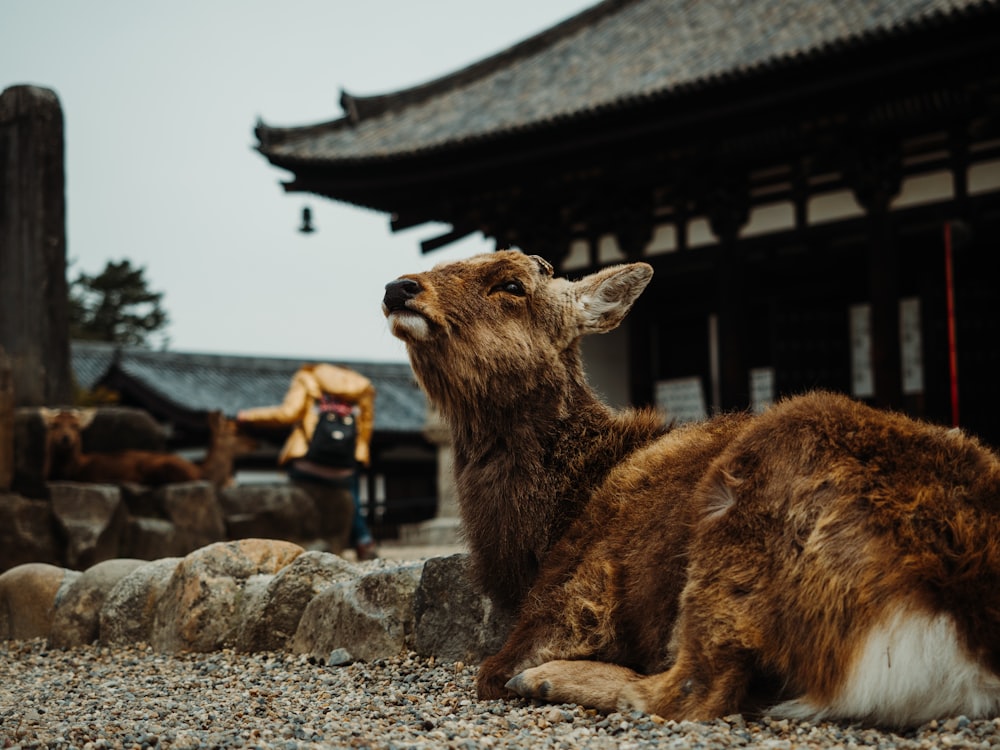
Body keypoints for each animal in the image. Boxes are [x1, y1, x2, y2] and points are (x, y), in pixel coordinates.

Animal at [382, 251, 1000, 728]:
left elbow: (491, 669)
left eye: (512, 283)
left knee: (693, 692)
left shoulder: (576, 591)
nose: (399, 287)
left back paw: (548, 680)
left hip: (740, 529)